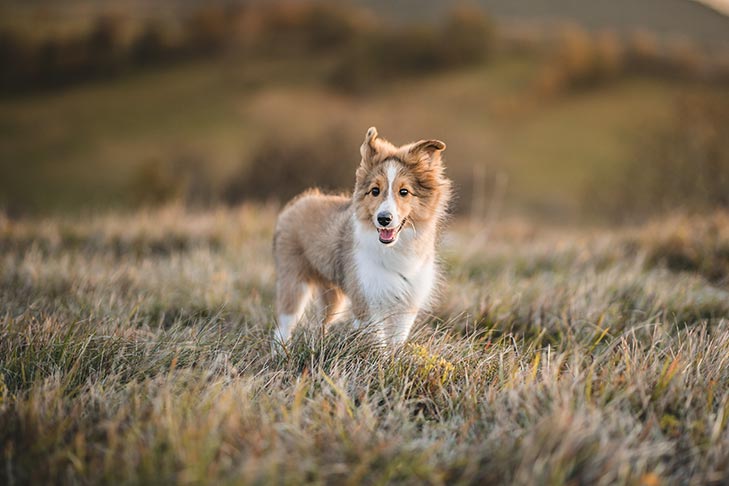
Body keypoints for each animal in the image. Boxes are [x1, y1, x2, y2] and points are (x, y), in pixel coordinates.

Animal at [272, 125, 450, 346]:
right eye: (375, 190)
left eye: (404, 191)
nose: (384, 219)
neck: (394, 249)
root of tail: (297, 202)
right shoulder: (366, 302)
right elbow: (378, 344)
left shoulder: (405, 307)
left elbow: (396, 344)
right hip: (293, 282)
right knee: (283, 326)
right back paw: (281, 350)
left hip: (332, 294)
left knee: (321, 322)